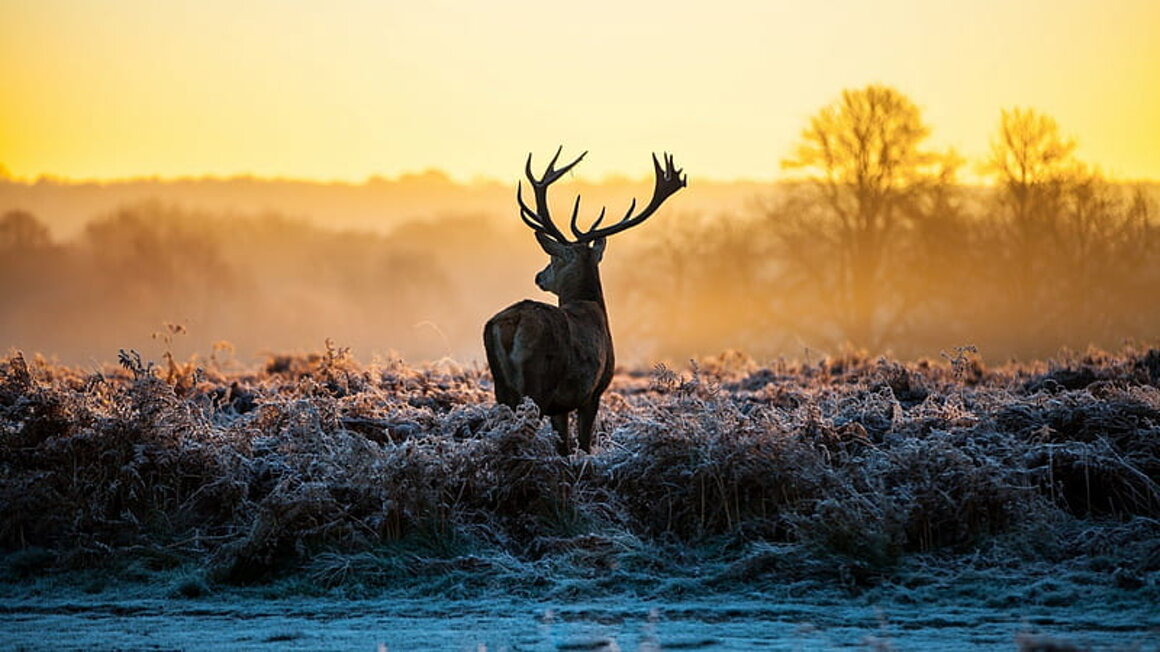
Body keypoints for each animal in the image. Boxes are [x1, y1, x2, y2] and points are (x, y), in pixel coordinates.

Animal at [484, 148, 686, 455]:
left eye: (553, 258)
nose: (539, 276)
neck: (593, 306)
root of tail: (512, 322)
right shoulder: (593, 392)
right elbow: (583, 445)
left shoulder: (562, 405)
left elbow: (564, 446)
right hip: (538, 384)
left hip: (502, 388)